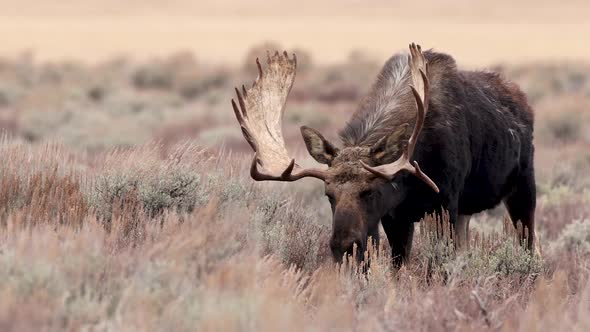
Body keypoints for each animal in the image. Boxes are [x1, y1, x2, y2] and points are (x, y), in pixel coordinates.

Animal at [231, 44, 536, 266]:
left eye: (370, 192)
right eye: (329, 195)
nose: (343, 247)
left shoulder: (444, 204)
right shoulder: (395, 216)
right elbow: (397, 266)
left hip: (522, 186)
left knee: (529, 242)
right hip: (467, 211)